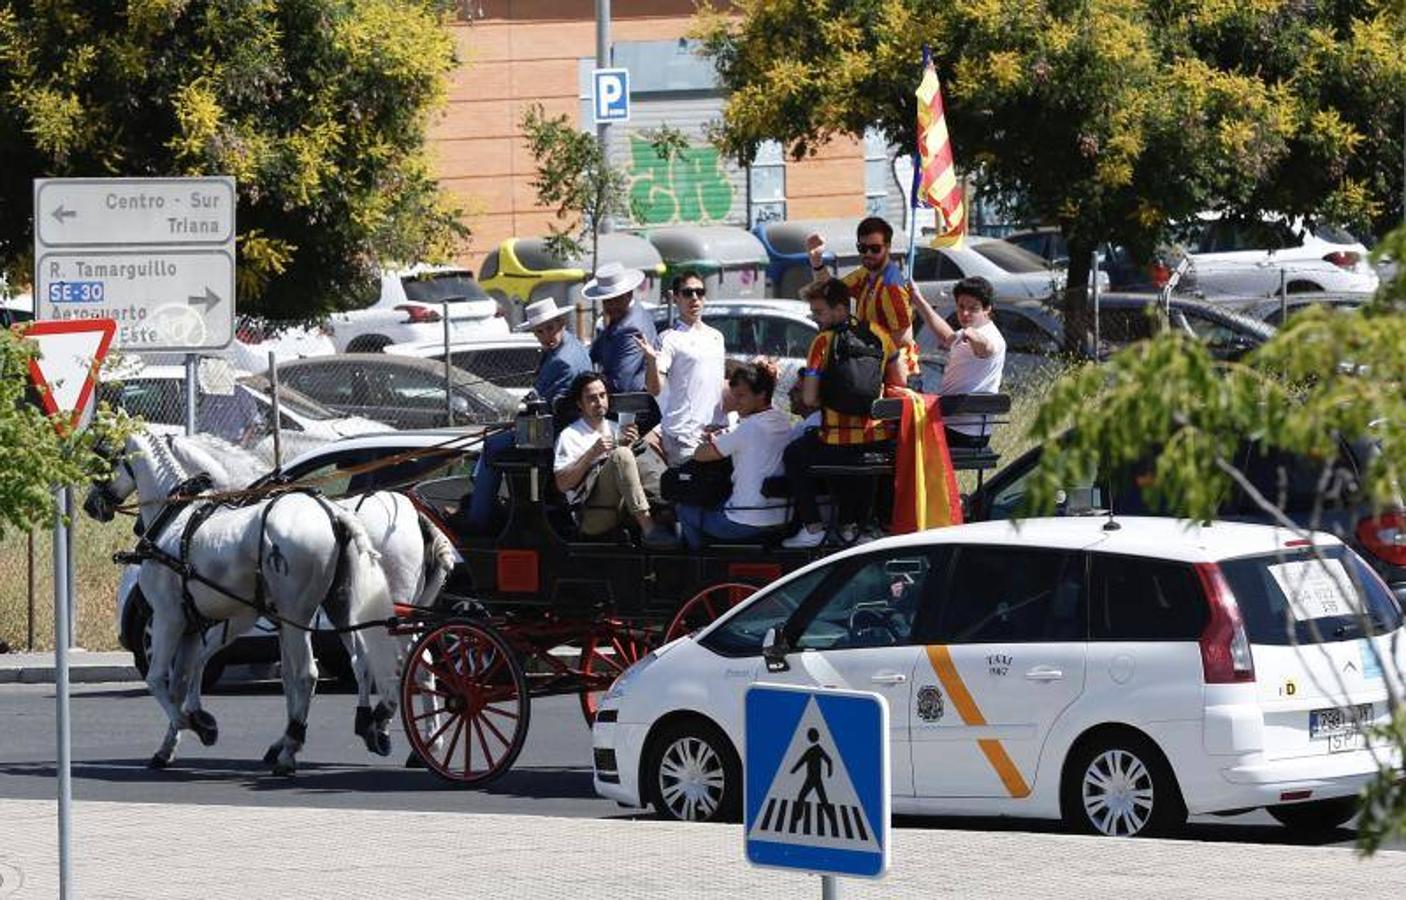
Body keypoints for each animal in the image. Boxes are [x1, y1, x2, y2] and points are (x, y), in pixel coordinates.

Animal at [83, 430, 402, 776]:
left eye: (104, 460)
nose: (90, 505)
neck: (178, 521)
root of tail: (335, 515)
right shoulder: (193, 626)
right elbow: (181, 681)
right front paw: (169, 747)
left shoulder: (169, 619)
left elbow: (157, 680)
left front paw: (193, 724)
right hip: (339, 606)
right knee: (360, 662)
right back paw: (369, 725)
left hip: (296, 615)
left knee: (306, 674)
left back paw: (290, 750)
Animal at [160, 433, 455, 753]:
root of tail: (417, 517)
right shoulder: (281, 620)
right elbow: (291, 673)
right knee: (415, 663)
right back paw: (418, 740)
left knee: (402, 662)